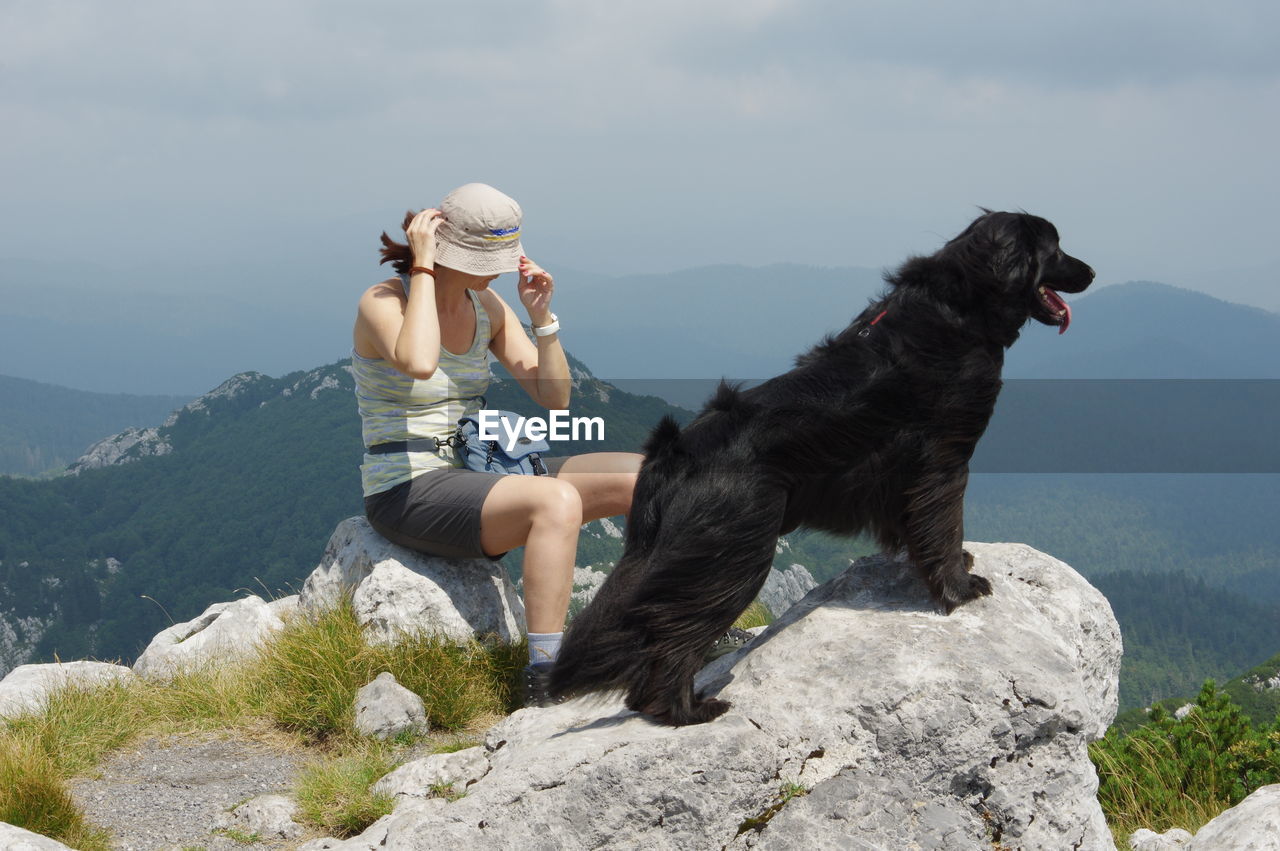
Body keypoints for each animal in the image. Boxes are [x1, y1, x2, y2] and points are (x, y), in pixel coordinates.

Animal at [545, 211, 1095, 721]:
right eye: (1055, 248)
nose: (1091, 271)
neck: (959, 308)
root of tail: (676, 451)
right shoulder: (944, 459)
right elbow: (943, 525)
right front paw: (960, 590)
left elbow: (920, 529)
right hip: (735, 556)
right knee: (671, 632)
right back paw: (685, 711)